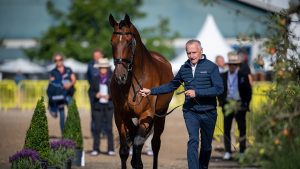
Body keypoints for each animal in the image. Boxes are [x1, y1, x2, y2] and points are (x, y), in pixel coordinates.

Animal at [109, 14, 172, 169]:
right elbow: (124, 149)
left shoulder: (147, 114)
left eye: (129, 42)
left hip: (161, 115)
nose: (120, 77)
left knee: (155, 144)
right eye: (112, 42)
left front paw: (138, 163)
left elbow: (138, 142)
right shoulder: (120, 115)